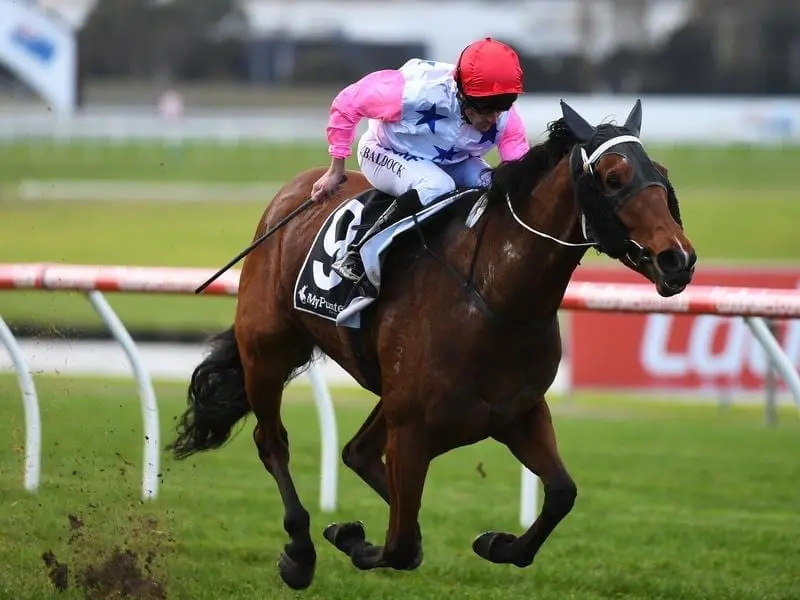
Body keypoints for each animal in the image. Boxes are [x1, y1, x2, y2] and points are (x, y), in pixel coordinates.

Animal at [167, 99, 692, 592]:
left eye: (662, 175)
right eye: (613, 177)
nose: (679, 259)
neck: (493, 297)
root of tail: (294, 191)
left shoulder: (517, 412)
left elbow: (562, 494)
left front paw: (497, 542)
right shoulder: (413, 428)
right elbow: (397, 546)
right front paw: (351, 538)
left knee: (357, 452)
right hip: (268, 351)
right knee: (273, 441)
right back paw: (300, 550)